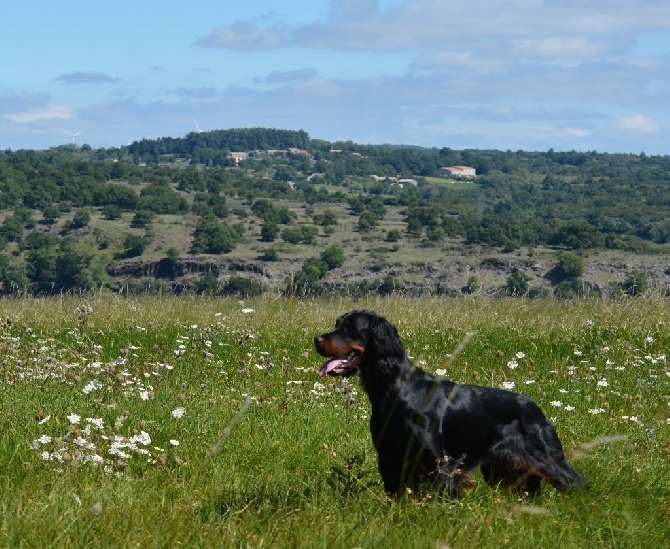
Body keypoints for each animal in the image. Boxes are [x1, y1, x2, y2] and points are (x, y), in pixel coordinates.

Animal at [316, 310, 588, 494]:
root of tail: (534, 406)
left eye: (350, 328)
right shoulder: (389, 458)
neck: (394, 389)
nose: (317, 340)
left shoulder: (441, 464)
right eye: (337, 324)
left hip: (546, 457)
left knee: (576, 482)